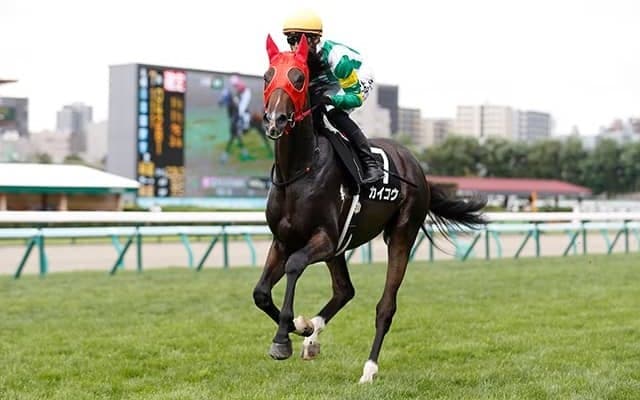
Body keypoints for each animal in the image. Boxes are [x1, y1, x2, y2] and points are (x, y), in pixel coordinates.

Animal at [253, 34, 487, 383]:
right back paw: (312, 337)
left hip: (401, 233)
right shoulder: (284, 240)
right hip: (341, 248)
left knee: (385, 307)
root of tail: (416, 166)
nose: (275, 120)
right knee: (344, 290)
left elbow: (294, 266)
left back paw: (369, 369)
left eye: (299, 78)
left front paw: (284, 336)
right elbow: (261, 292)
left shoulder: (324, 239)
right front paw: (300, 328)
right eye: (267, 76)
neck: (300, 171)